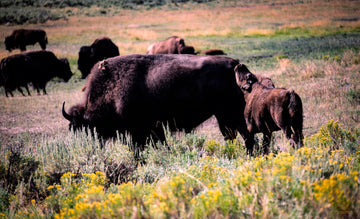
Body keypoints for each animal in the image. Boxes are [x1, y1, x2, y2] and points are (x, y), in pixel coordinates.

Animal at [63, 53, 256, 156]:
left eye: (81, 127)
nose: (87, 147)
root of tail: (234, 65)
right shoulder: (152, 131)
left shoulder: (140, 132)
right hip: (223, 116)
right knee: (231, 135)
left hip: (230, 114)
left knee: (245, 135)